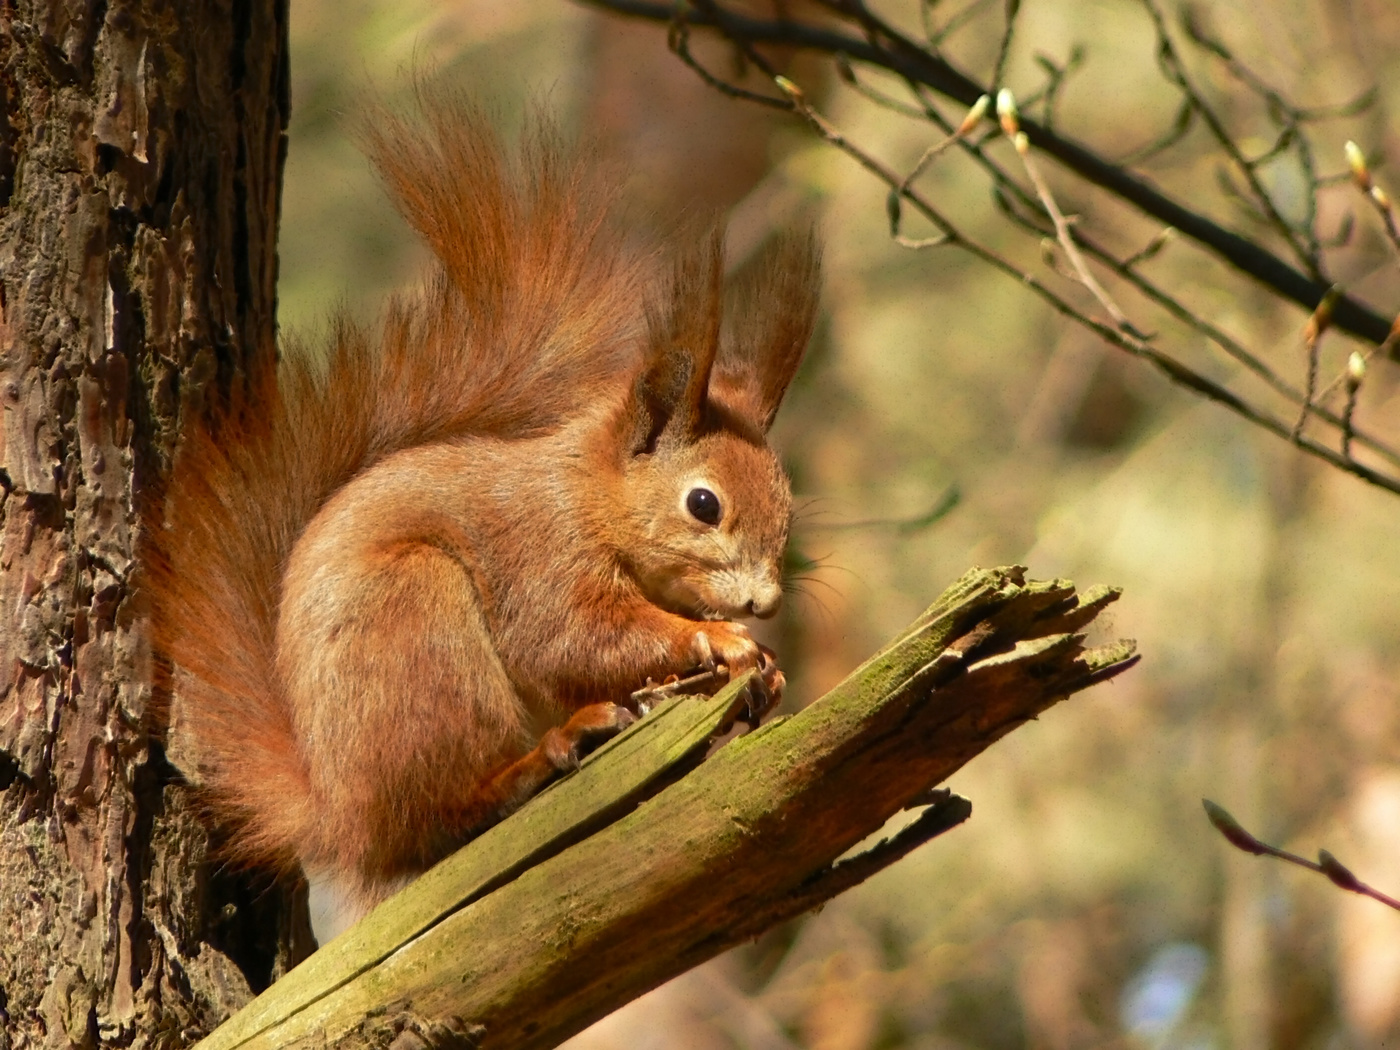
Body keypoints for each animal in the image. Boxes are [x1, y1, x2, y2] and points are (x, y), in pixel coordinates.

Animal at [146, 98, 817, 946]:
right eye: (705, 504)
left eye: (788, 504)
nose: (765, 602)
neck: (588, 500)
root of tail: (338, 816)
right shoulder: (541, 555)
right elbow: (575, 638)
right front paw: (721, 642)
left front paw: (763, 670)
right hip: (419, 633)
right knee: (446, 814)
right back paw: (546, 754)